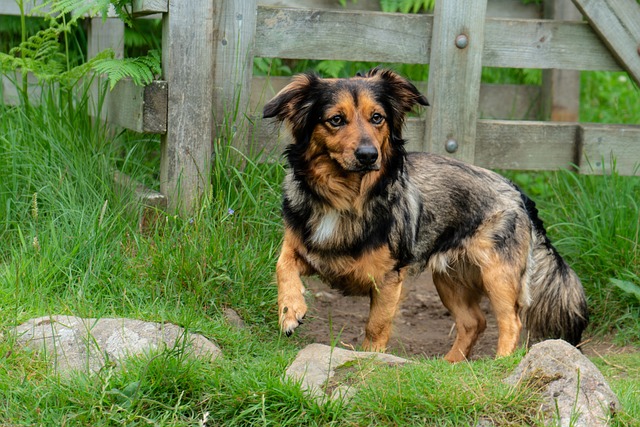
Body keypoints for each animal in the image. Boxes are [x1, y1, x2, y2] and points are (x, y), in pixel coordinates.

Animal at [262, 67, 592, 362]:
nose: (369, 155)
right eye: (336, 120)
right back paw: (449, 366)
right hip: (450, 279)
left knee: (511, 321)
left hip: (498, 274)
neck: (346, 198)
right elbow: (282, 265)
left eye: (377, 118)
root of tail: (515, 190)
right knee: (474, 322)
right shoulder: (303, 246)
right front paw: (290, 311)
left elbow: (376, 325)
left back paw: (499, 364)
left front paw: (370, 358)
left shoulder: (388, 279)